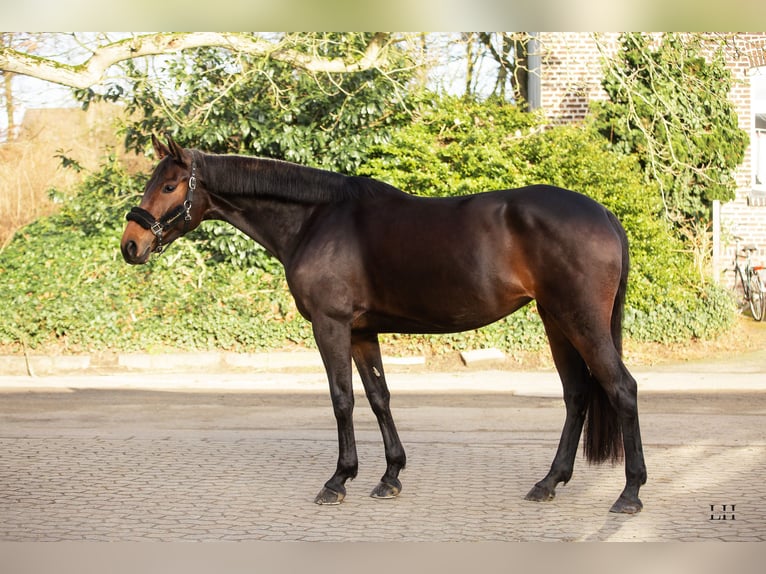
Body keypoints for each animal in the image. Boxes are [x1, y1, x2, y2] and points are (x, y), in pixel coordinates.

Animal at [120, 136, 648, 516]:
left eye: (169, 186)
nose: (131, 244)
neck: (316, 220)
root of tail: (603, 213)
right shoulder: (361, 331)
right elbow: (379, 397)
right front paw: (390, 475)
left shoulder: (331, 326)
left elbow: (342, 400)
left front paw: (338, 480)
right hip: (555, 320)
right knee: (577, 394)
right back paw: (548, 482)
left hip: (579, 320)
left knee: (621, 388)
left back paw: (629, 493)